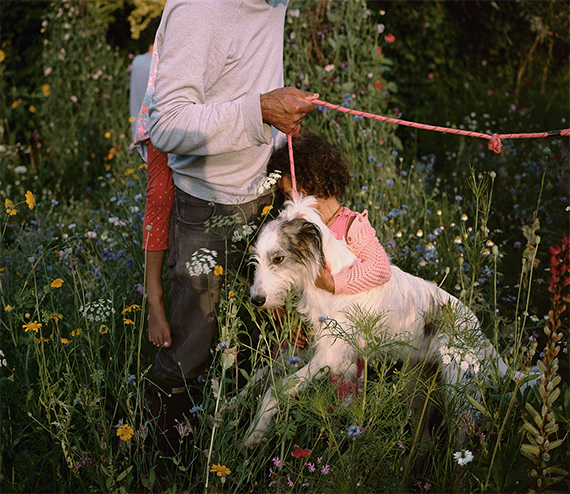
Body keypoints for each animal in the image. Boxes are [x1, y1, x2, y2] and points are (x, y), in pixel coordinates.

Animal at [244, 196, 506, 448]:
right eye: (255, 259)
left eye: (279, 258)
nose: (256, 300)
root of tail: (479, 333)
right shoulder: (308, 350)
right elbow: (261, 374)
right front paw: (237, 401)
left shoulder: (329, 356)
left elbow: (276, 389)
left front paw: (254, 431)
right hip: (419, 390)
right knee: (425, 441)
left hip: (460, 399)